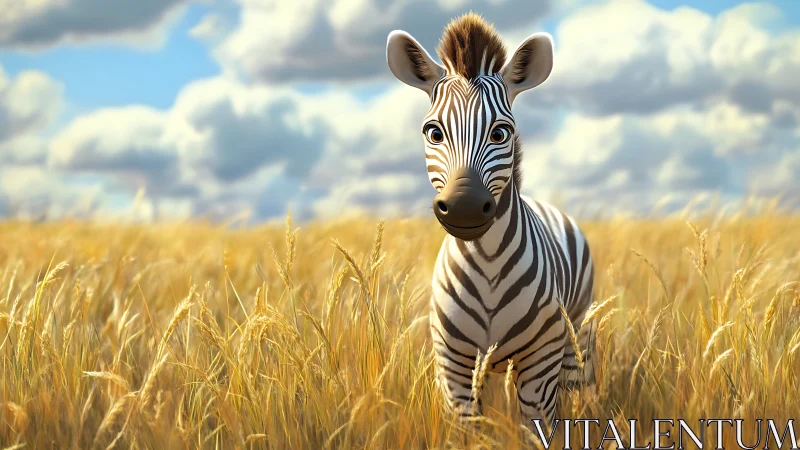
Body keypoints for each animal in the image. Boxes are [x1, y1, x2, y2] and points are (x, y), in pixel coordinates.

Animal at [385, 13, 597, 426]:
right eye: (433, 132)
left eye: (502, 133)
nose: (464, 207)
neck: (487, 261)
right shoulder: (453, 365)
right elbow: (470, 427)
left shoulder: (540, 365)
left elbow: (537, 426)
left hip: (575, 330)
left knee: (575, 381)